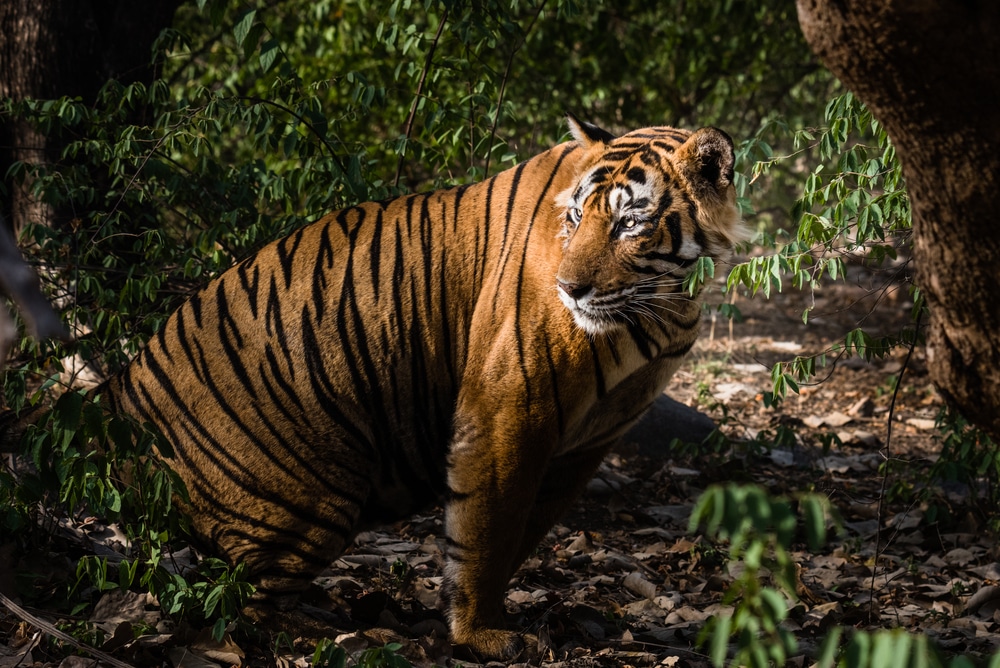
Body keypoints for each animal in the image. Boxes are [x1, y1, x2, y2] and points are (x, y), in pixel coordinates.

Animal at [1, 113, 744, 656]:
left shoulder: (588, 440)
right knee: (234, 602)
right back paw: (340, 625)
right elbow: (487, 531)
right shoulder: (509, 408)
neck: (665, 305)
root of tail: (118, 404)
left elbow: (525, 531)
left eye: (629, 222)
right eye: (574, 217)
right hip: (314, 489)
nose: (570, 288)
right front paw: (482, 633)